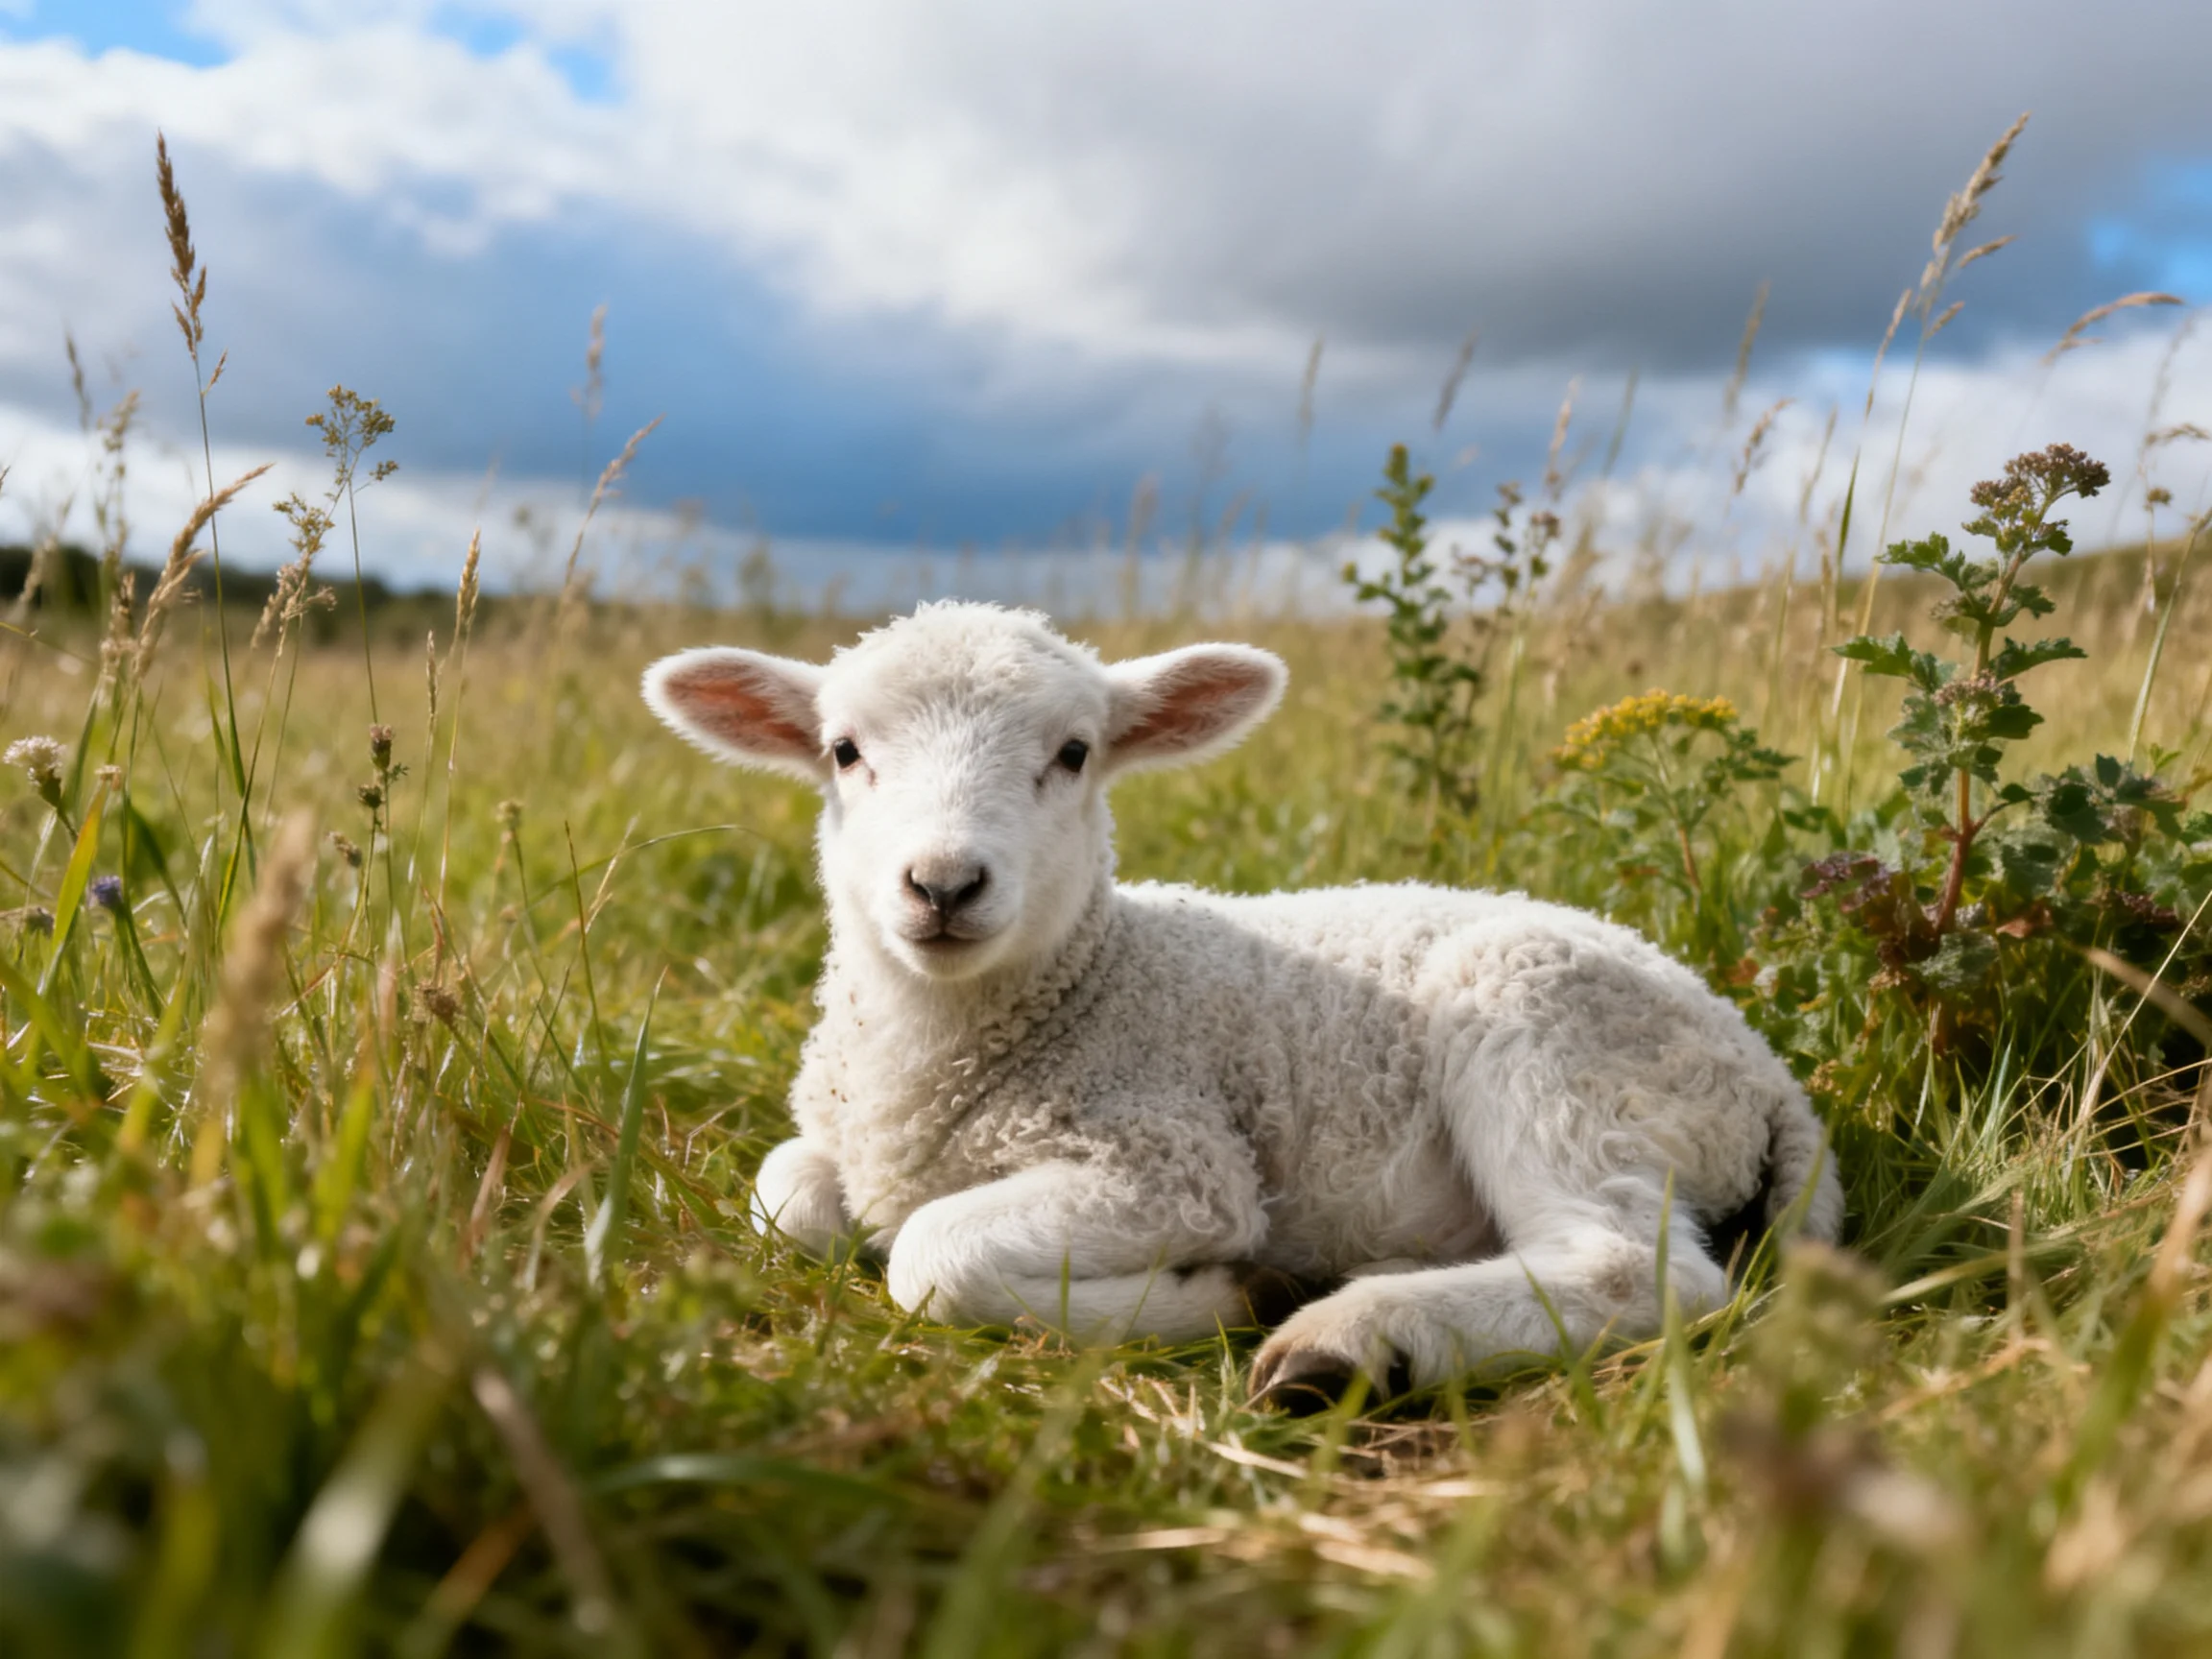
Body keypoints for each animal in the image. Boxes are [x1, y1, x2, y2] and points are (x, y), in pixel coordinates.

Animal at [642, 601, 1843, 1406]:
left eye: (1073, 753)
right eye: (844, 752)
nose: (942, 886)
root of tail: (1765, 1070)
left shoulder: (1171, 1161)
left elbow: (930, 1260)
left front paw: (1204, 1296)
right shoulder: (840, 1135)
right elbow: (786, 1194)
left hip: (1555, 1042)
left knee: (1635, 1271)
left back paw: (1347, 1341)